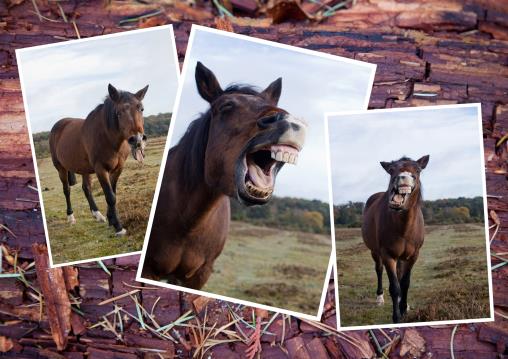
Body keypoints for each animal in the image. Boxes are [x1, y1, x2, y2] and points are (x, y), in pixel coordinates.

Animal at [49, 83, 149, 236]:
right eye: (119, 112)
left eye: (141, 108)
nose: (137, 139)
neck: (107, 138)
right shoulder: (100, 169)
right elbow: (110, 197)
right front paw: (118, 227)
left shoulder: (118, 169)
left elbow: (113, 193)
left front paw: (111, 219)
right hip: (61, 168)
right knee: (67, 190)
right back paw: (71, 217)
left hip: (84, 168)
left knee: (86, 189)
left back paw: (98, 215)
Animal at [362, 156, 428, 324]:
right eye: (391, 170)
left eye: (418, 169)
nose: (403, 177)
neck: (404, 227)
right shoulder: (387, 255)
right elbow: (395, 287)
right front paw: (396, 317)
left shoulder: (413, 256)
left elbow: (405, 283)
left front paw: (403, 308)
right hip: (375, 252)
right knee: (379, 270)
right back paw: (379, 298)